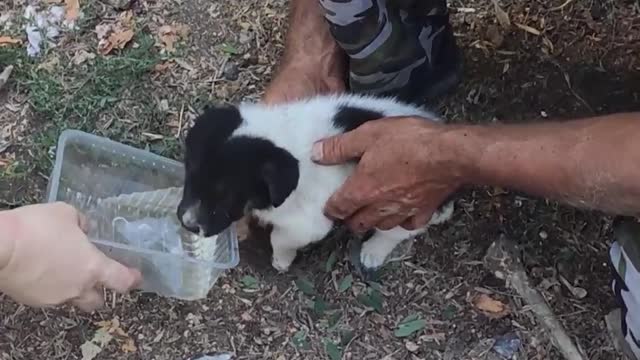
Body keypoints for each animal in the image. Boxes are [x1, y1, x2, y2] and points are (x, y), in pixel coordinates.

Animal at [178, 94, 452, 272]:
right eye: (190, 174)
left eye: (226, 194)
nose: (187, 224)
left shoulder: (308, 224)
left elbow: (280, 238)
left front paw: (281, 260)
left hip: (400, 207)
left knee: (396, 232)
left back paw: (373, 252)